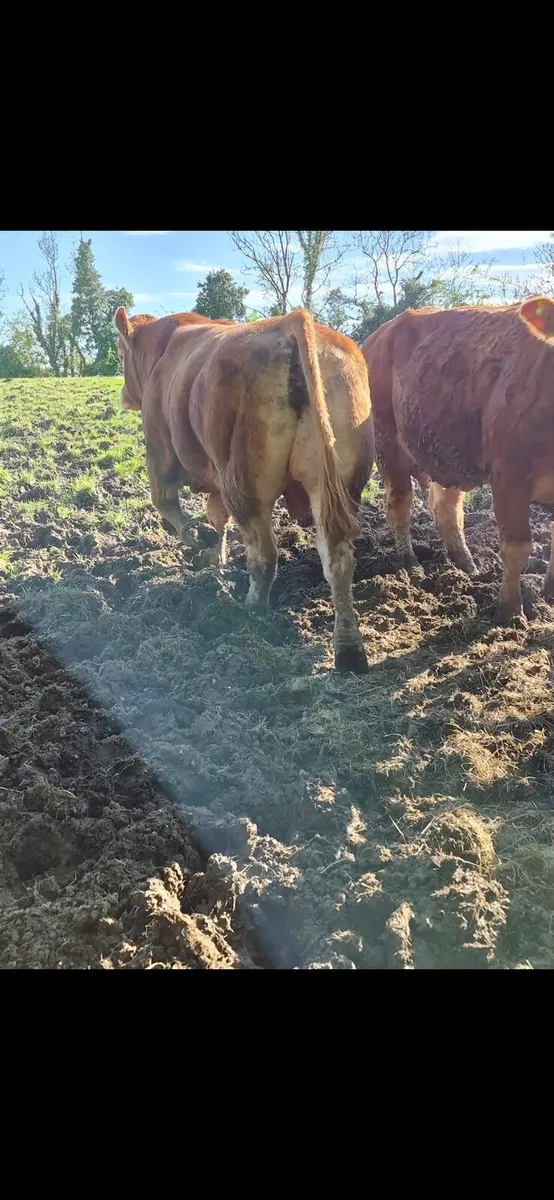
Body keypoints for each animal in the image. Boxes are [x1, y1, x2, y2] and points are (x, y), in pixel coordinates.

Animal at [114, 306, 374, 673]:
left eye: (120, 353)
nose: (124, 397)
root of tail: (290, 322)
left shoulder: (160, 457)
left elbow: (170, 507)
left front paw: (199, 540)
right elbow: (216, 518)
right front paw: (215, 555)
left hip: (243, 485)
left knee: (264, 553)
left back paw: (251, 607)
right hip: (335, 488)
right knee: (337, 559)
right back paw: (349, 649)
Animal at [361, 296, 554, 624]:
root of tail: (378, 335)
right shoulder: (508, 475)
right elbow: (516, 547)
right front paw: (509, 611)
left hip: (446, 454)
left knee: (445, 509)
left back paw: (468, 568)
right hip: (386, 441)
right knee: (399, 502)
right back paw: (410, 564)